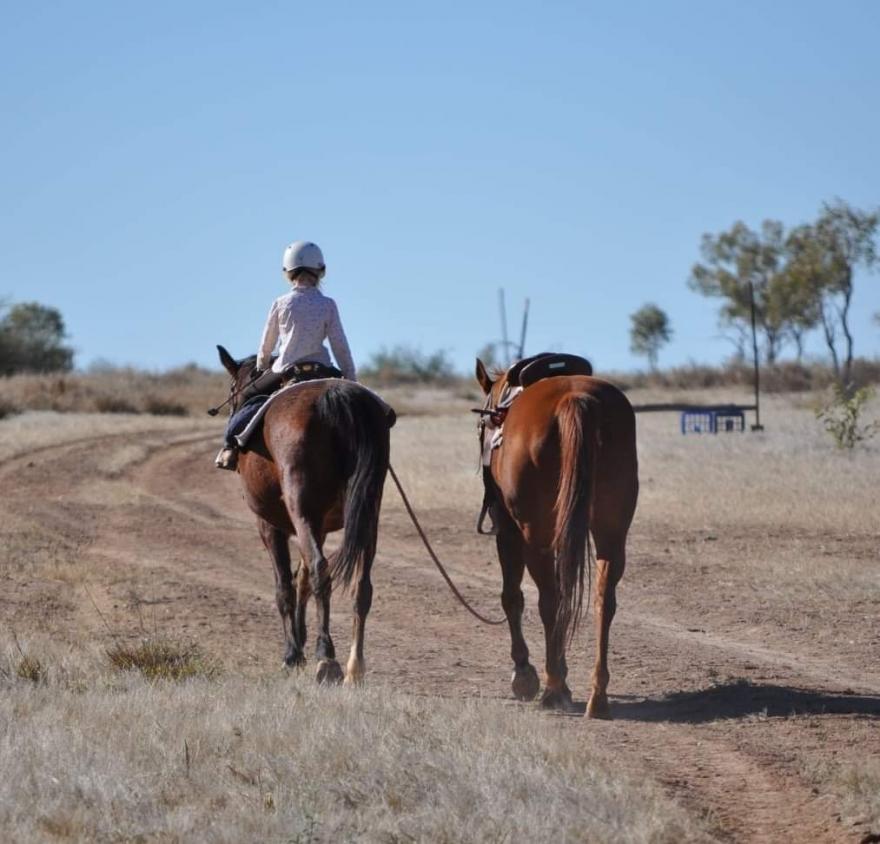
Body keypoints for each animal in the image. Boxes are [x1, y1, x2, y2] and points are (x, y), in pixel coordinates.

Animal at [216, 346, 388, 684]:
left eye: (232, 389)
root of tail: (335, 397)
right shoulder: (317, 525)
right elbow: (301, 579)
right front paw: (300, 641)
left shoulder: (269, 524)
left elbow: (285, 584)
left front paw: (292, 654)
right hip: (366, 515)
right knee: (361, 585)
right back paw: (354, 667)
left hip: (300, 508)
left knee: (322, 569)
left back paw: (327, 658)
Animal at [478, 356, 636, 720]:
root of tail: (574, 399)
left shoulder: (507, 530)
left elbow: (512, 597)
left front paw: (525, 675)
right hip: (611, 531)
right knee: (603, 600)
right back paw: (597, 696)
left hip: (535, 536)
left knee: (549, 600)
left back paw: (553, 688)